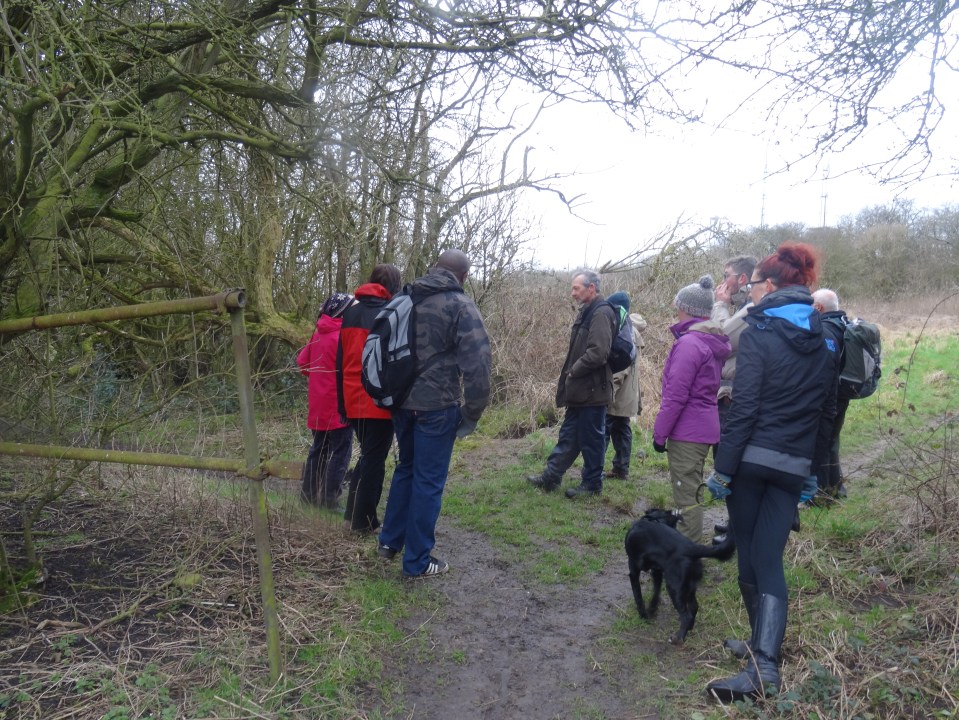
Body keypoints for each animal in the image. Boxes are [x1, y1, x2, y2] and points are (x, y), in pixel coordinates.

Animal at [625, 508, 735, 644]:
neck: (654, 519)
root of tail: (691, 548)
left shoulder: (633, 570)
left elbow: (638, 596)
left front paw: (643, 615)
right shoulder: (657, 572)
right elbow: (656, 593)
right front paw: (652, 609)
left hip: (674, 588)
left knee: (685, 615)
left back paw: (678, 638)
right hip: (689, 587)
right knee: (694, 607)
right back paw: (689, 628)